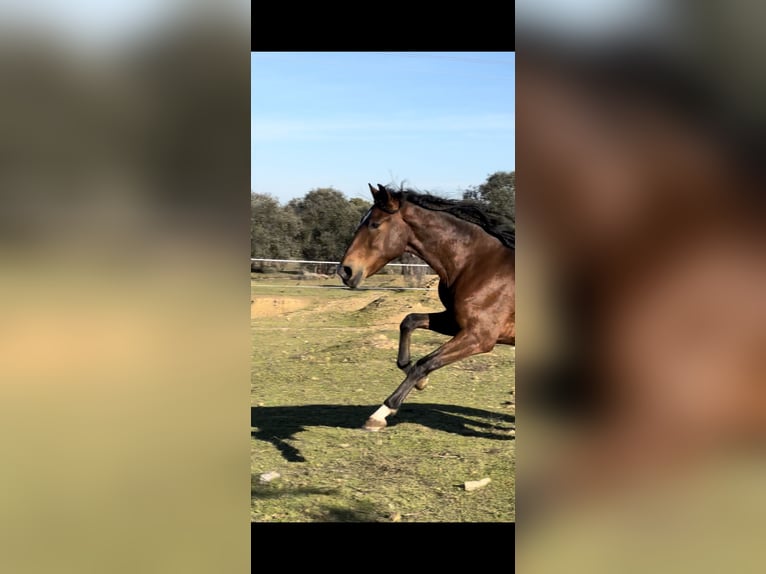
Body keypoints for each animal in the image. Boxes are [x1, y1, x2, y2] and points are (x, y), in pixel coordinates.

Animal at [340, 184, 516, 432]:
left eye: (374, 224)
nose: (345, 271)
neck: (476, 263)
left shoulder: (480, 337)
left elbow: (424, 363)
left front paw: (380, 414)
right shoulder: (455, 322)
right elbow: (409, 321)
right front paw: (419, 381)